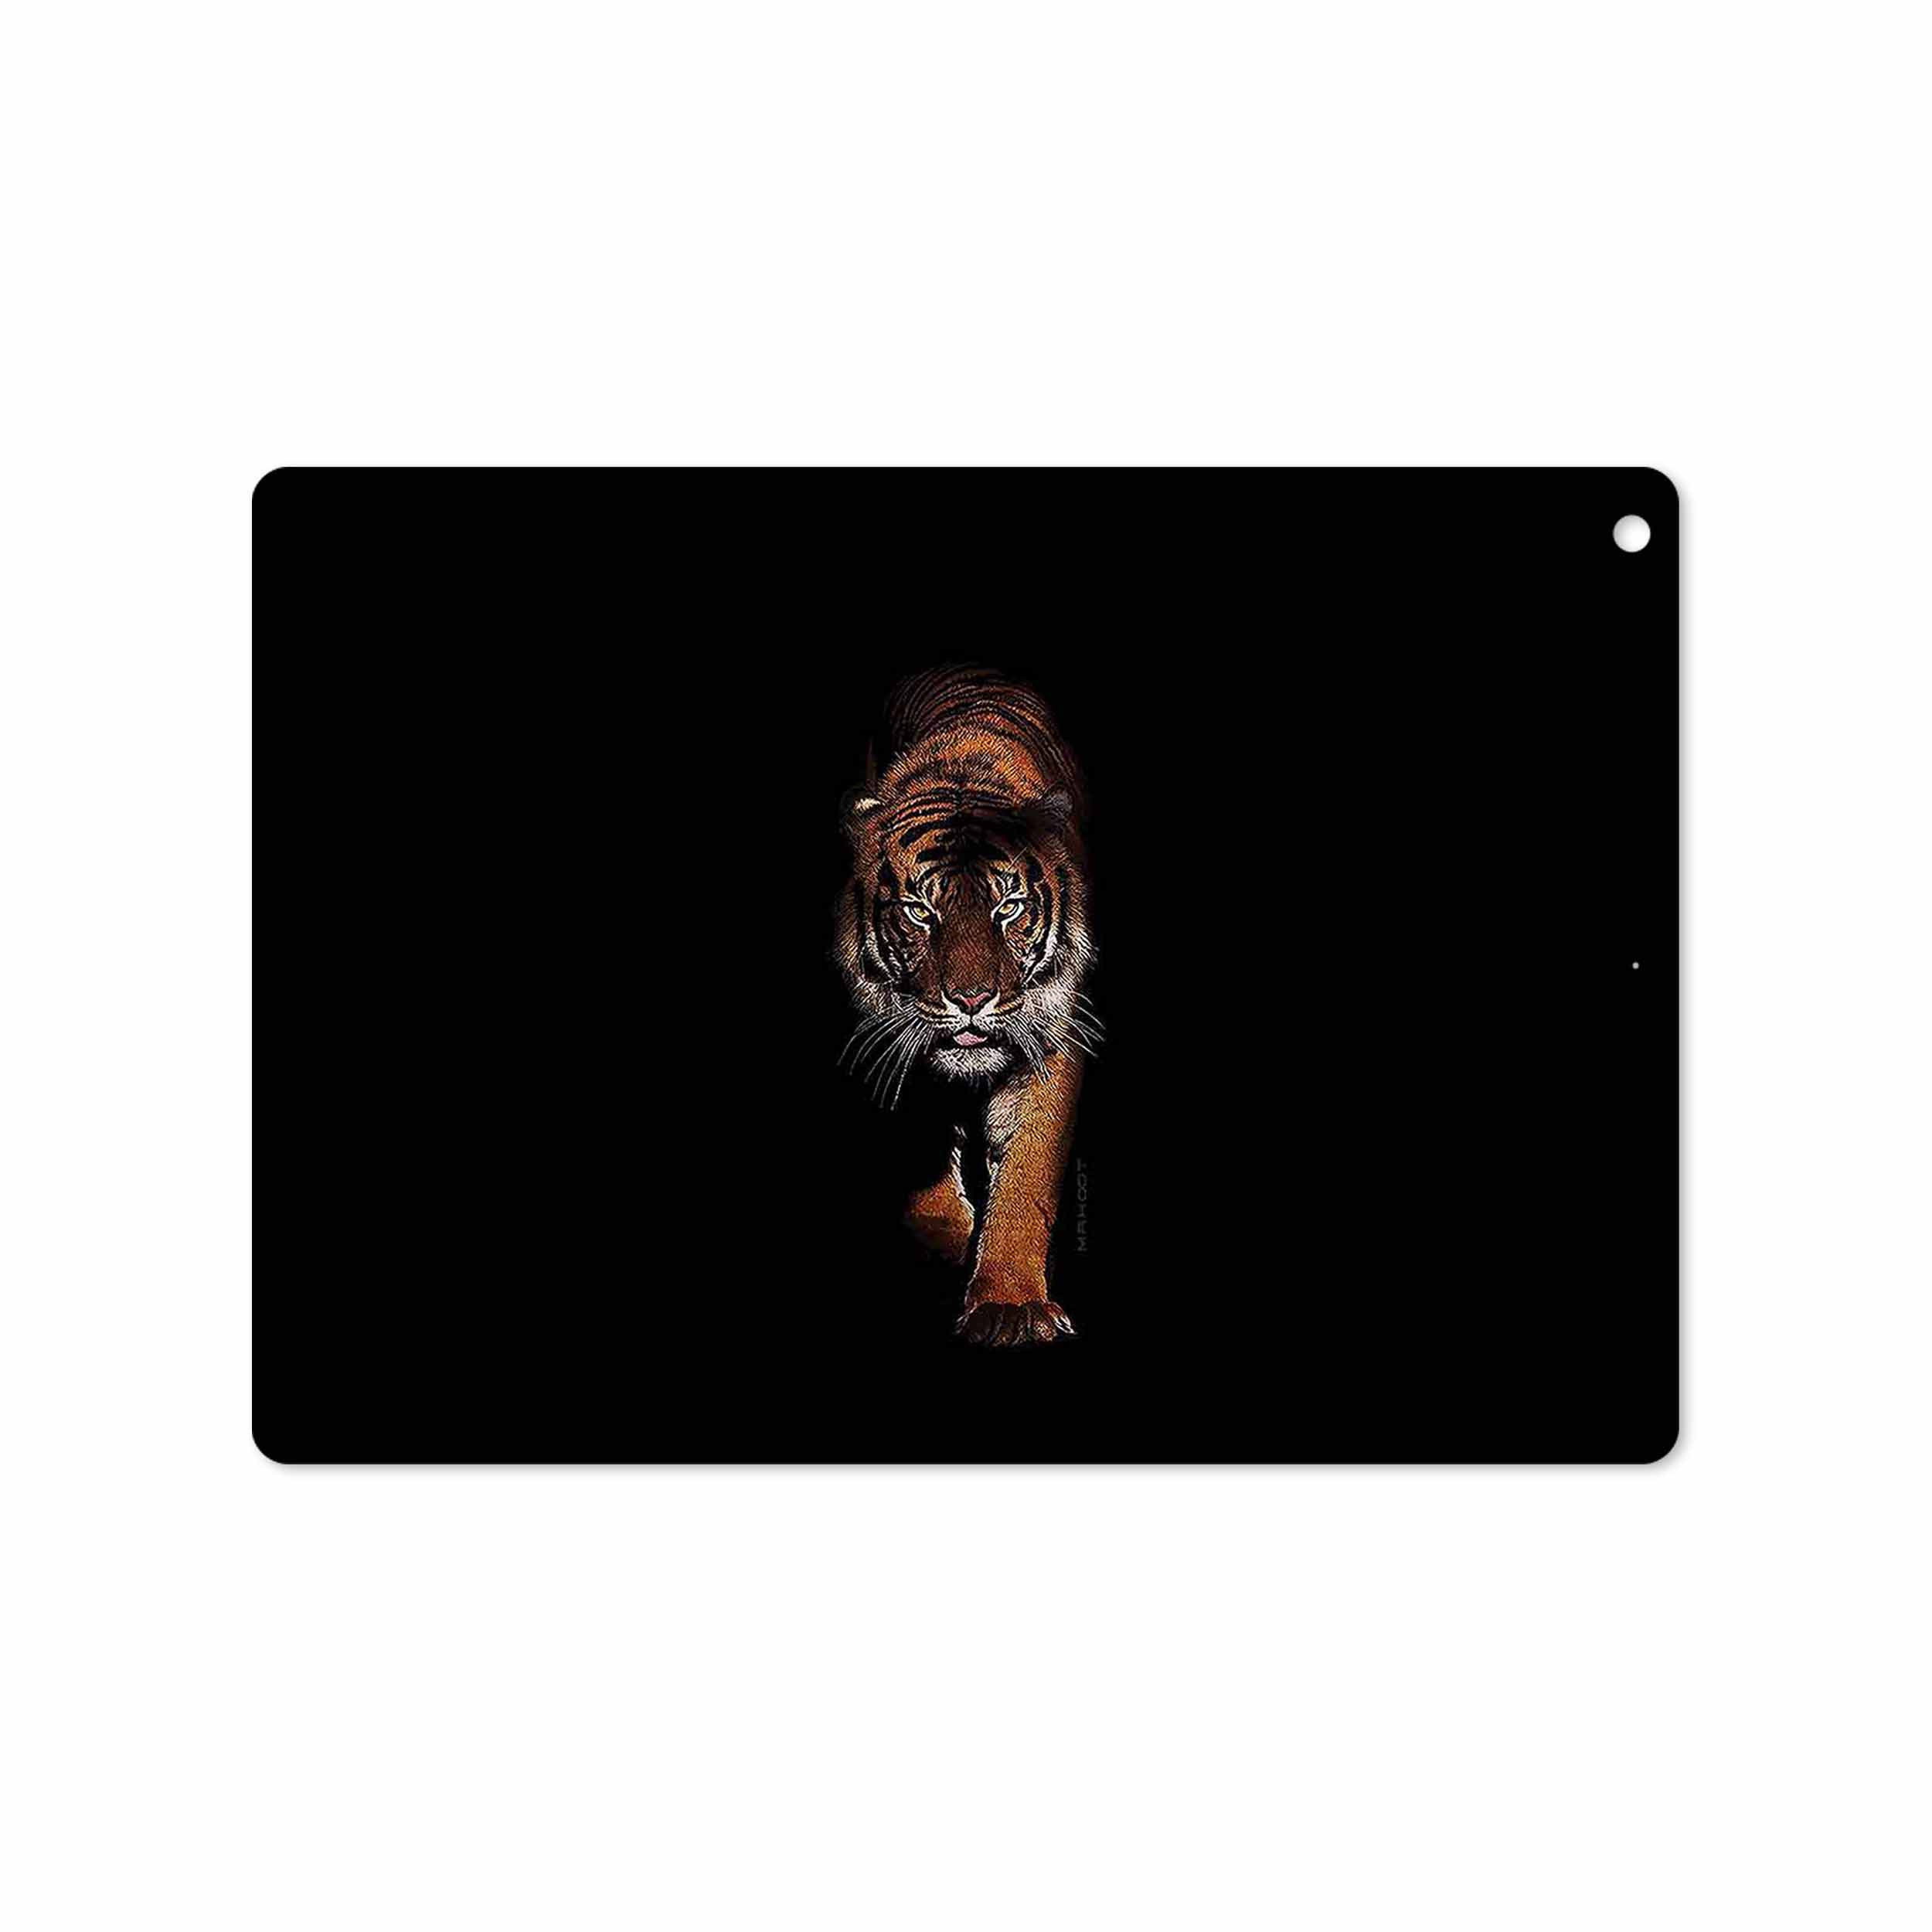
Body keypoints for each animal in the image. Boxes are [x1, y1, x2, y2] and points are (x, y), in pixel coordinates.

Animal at [836, 666, 1100, 1346]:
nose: (973, 999)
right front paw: (944, 1239)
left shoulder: (1051, 1036)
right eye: (919, 912)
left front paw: (1009, 1304)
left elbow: (1027, 1176)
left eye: (1008, 907)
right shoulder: (896, 1032)